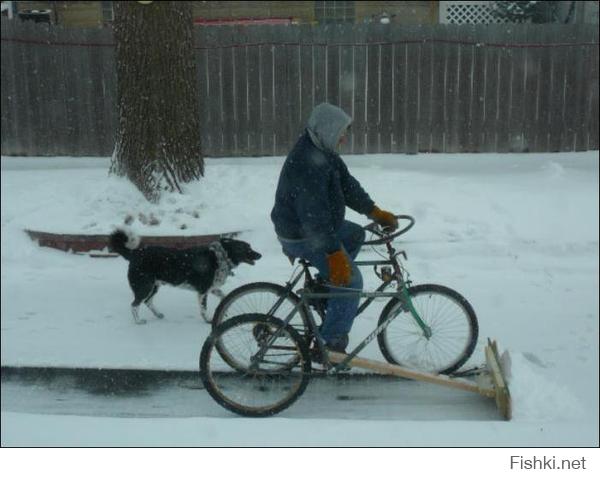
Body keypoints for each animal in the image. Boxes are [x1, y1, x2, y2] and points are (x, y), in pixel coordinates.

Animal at [109, 229, 258, 324]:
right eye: (247, 248)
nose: (260, 255)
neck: (221, 257)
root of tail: (134, 253)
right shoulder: (203, 291)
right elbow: (204, 309)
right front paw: (208, 320)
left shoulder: (212, 288)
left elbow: (224, 296)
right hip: (144, 286)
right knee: (134, 305)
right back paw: (138, 321)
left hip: (154, 286)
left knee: (147, 302)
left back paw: (158, 314)